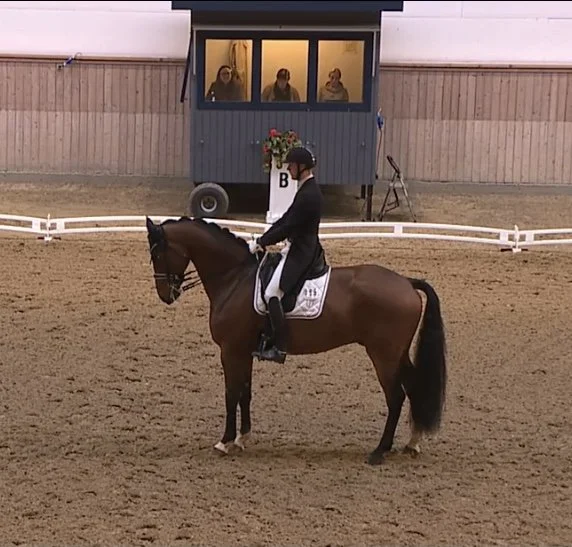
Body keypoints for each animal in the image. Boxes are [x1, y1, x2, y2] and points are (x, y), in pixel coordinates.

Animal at [145, 215, 447, 465]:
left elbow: (231, 394)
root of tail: (407, 282)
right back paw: (412, 443)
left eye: (158, 252)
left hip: (383, 355)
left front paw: (225, 442)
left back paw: (379, 451)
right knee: (414, 386)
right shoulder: (243, 351)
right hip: (397, 354)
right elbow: (245, 392)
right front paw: (243, 438)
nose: (165, 295)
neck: (234, 277)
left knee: (396, 397)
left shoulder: (230, 351)